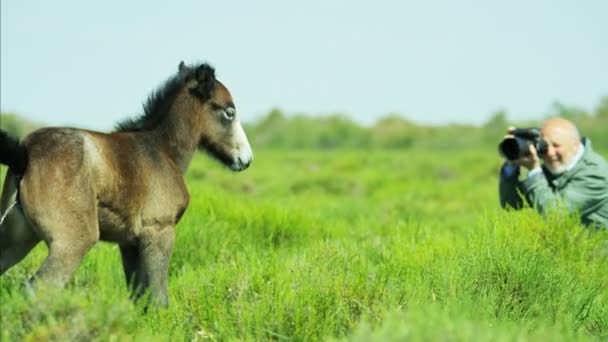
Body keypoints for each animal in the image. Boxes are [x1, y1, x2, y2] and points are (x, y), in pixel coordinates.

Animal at [0, 62, 252, 308]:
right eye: (229, 112)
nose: (246, 159)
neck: (162, 150)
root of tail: (24, 155)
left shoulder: (129, 243)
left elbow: (139, 296)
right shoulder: (159, 230)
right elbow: (159, 297)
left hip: (17, 237)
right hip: (72, 242)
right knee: (39, 288)